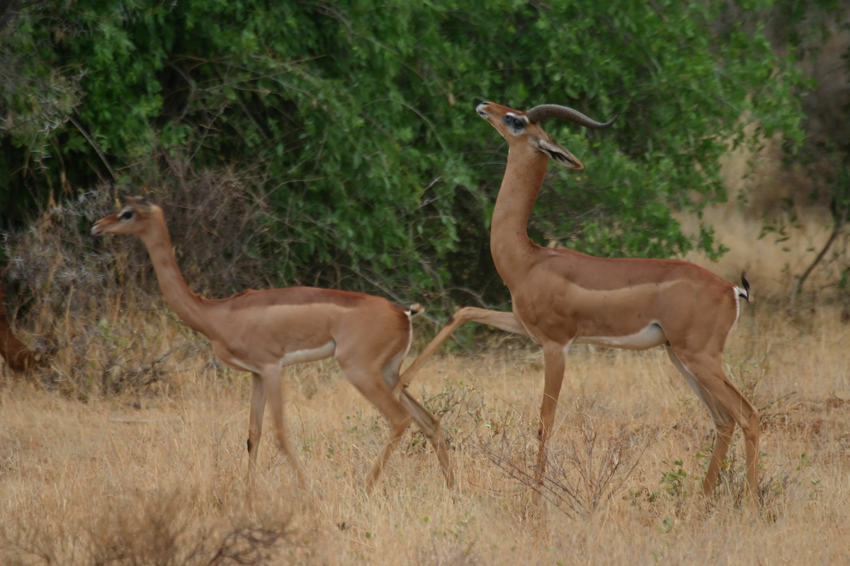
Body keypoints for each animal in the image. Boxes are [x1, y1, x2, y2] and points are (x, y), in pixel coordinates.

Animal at [89, 197, 454, 494]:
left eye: (127, 213)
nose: (98, 226)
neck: (216, 313)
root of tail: (402, 312)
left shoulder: (272, 368)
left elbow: (280, 433)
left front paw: (309, 491)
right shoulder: (256, 374)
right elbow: (254, 433)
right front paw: (248, 494)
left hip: (360, 372)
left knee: (400, 420)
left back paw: (364, 488)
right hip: (390, 373)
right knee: (430, 422)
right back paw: (451, 489)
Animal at [394, 102, 760, 510]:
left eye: (516, 120)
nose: (485, 106)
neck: (528, 259)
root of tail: (731, 290)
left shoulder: (557, 345)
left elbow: (545, 421)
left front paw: (535, 501)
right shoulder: (522, 326)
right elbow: (464, 312)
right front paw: (402, 382)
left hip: (700, 358)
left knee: (749, 415)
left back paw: (750, 505)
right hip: (679, 356)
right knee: (724, 419)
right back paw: (702, 500)